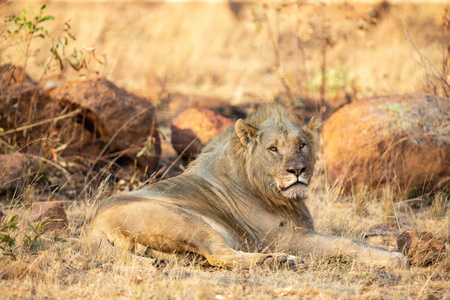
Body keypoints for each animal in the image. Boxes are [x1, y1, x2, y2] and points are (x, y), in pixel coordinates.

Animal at [87, 106, 408, 270]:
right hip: (187, 222)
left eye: (302, 145)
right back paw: (279, 261)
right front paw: (393, 257)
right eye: (273, 149)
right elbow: (346, 242)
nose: (297, 170)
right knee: (219, 255)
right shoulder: (287, 238)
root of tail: (93, 228)